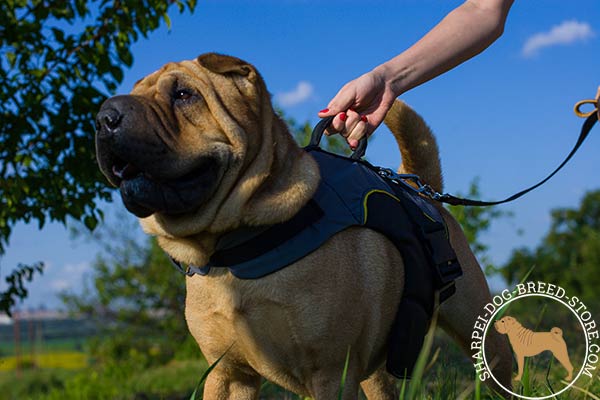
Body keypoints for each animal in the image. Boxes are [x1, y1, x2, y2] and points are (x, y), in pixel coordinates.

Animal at [96, 54, 512, 400]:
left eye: (184, 95)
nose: (104, 117)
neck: (233, 246)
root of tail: (421, 188)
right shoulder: (229, 373)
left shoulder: (329, 371)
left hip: (478, 331)